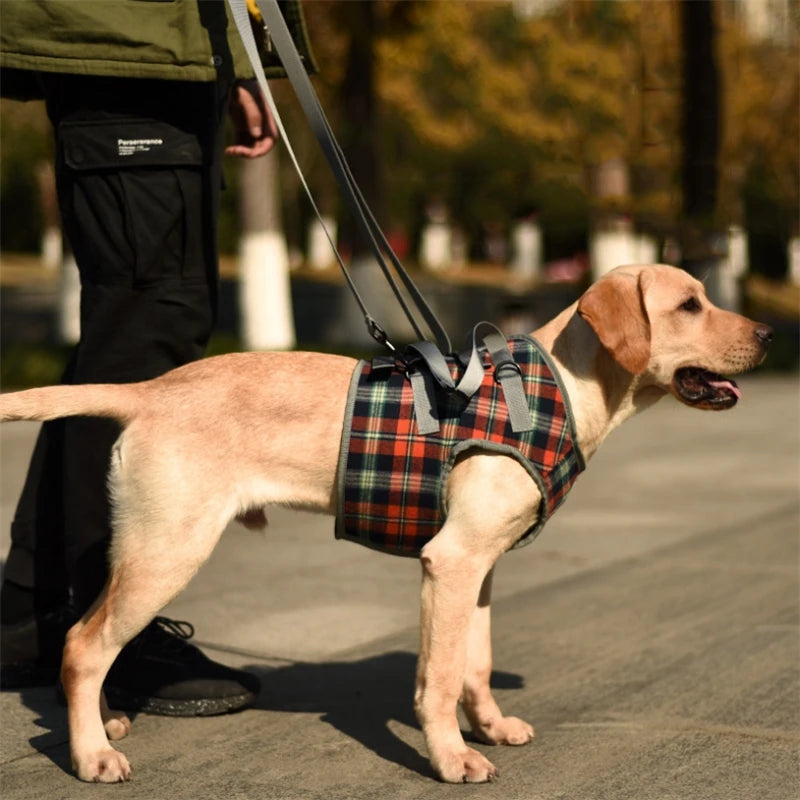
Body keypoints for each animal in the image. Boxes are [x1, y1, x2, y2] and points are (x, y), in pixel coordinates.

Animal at [1, 262, 776, 780]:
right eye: (690, 304)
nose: (770, 334)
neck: (556, 387)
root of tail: (151, 390)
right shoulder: (451, 561)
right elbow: (438, 679)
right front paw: (451, 758)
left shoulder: (480, 567)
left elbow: (475, 665)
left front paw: (488, 728)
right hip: (167, 549)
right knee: (82, 646)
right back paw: (93, 755)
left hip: (147, 549)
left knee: (90, 640)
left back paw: (101, 725)